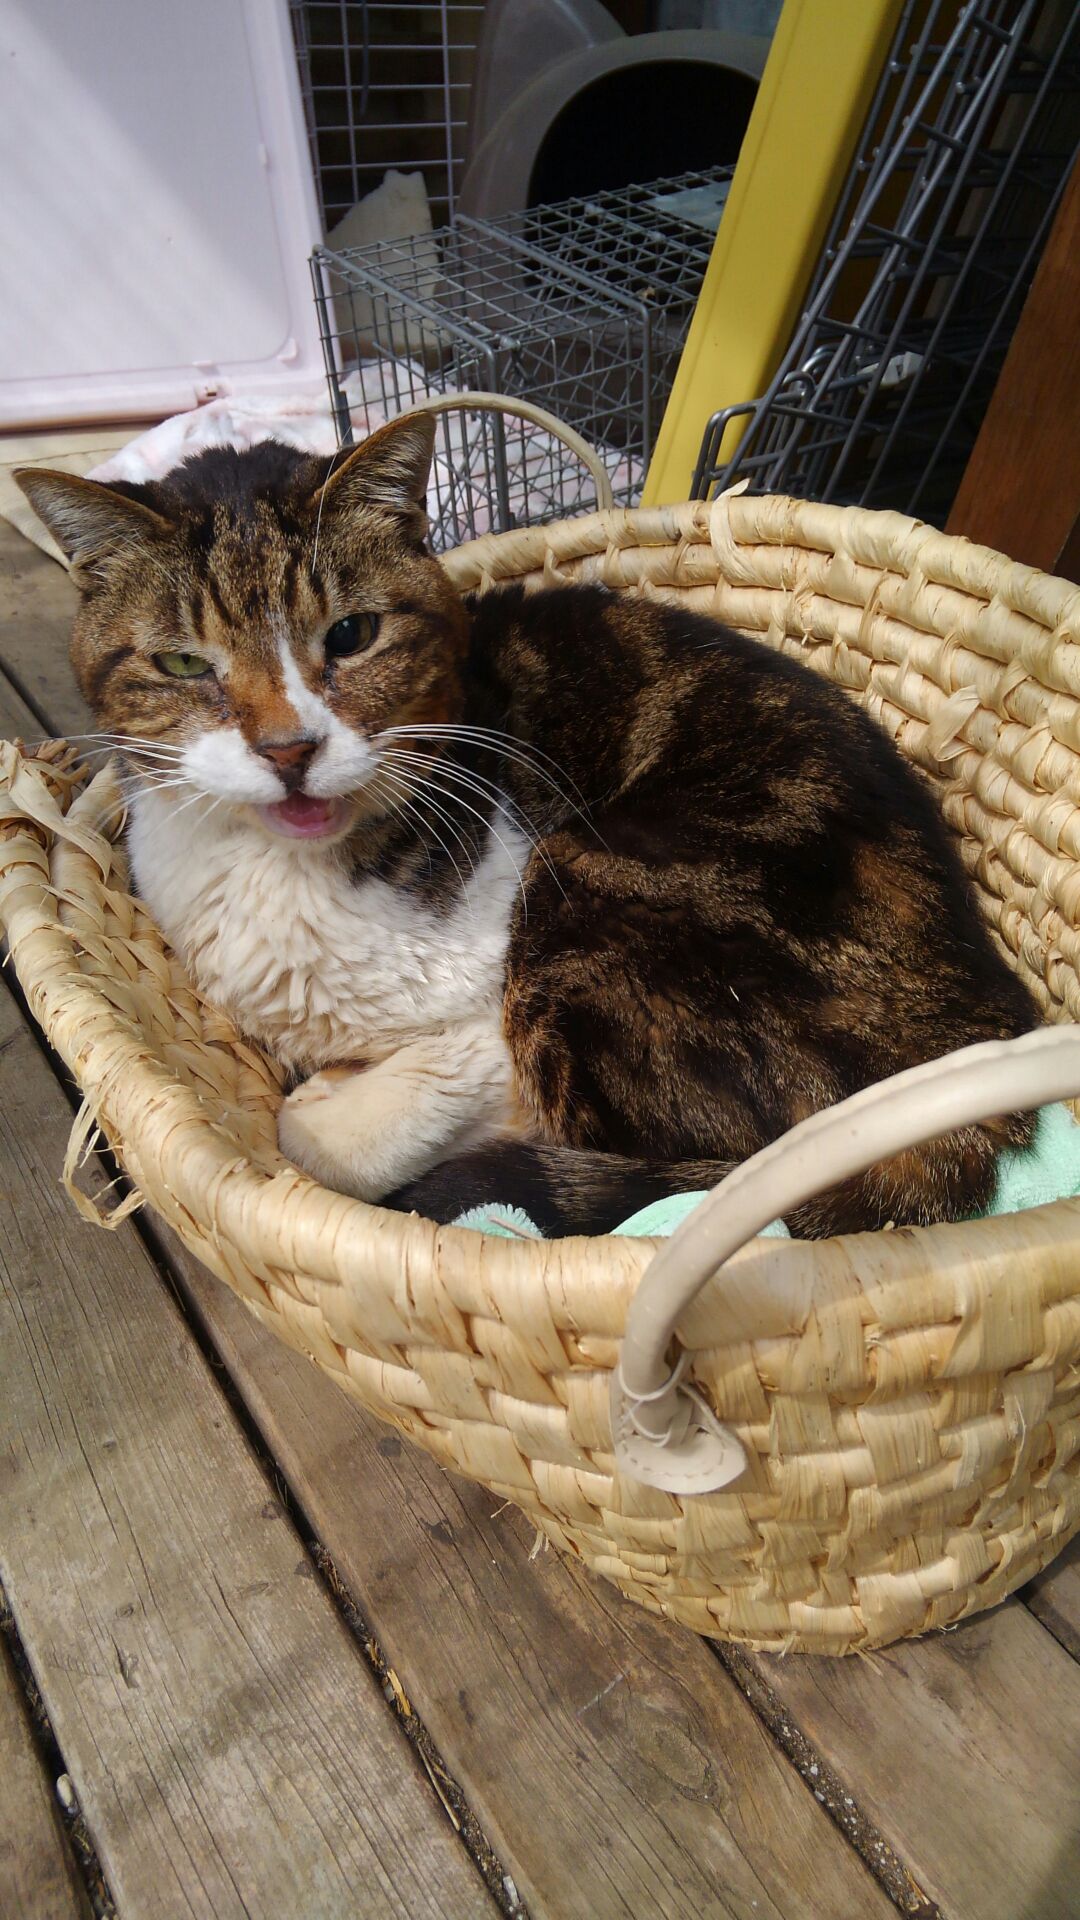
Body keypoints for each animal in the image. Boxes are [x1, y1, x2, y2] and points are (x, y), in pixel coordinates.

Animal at [16, 413, 1038, 1237]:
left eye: (352, 634)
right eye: (186, 663)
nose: (289, 748)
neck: (289, 876)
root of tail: (984, 1053)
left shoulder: (488, 1032)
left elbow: (334, 1134)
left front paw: (330, 1100)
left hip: (582, 896)